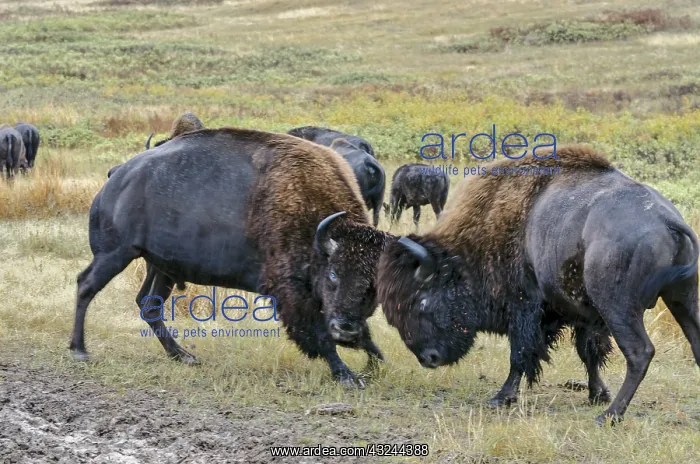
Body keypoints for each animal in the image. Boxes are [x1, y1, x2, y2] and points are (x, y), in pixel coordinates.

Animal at [71, 127, 390, 387]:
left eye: (373, 285)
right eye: (334, 274)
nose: (346, 330)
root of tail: (118, 176)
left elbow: (364, 338)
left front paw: (374, 361)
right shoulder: (294, 295)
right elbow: (319, 335)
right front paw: (347, 375)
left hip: (160, 267)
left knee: (149, 305)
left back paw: (183, 356)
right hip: (114, 254)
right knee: (86, 286)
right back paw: (79, 351)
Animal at [376, 145, 700, 425]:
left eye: (422, 300)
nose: (429, 358)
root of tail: (667, 220)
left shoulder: (525, 308)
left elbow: (521, 354)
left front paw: (502, 397)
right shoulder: (583, 316)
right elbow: (589, 354)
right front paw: (596, 394)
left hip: (619, 308)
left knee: (639, 353)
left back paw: (609, 416)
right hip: (682, 297)